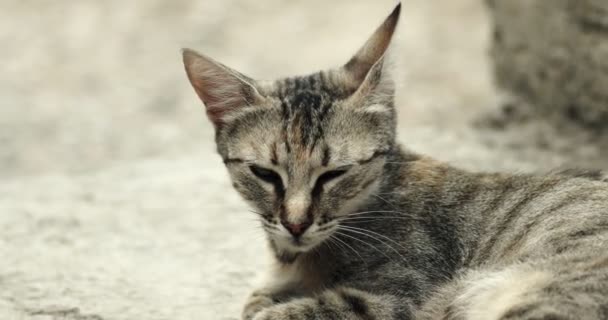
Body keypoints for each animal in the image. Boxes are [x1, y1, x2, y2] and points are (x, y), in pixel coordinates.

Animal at [183, 3, 608, 320]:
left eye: (335, 174)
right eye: (264, 174)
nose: (296, 224)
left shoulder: (397, 296)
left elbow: (289, 311)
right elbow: (260, 298)